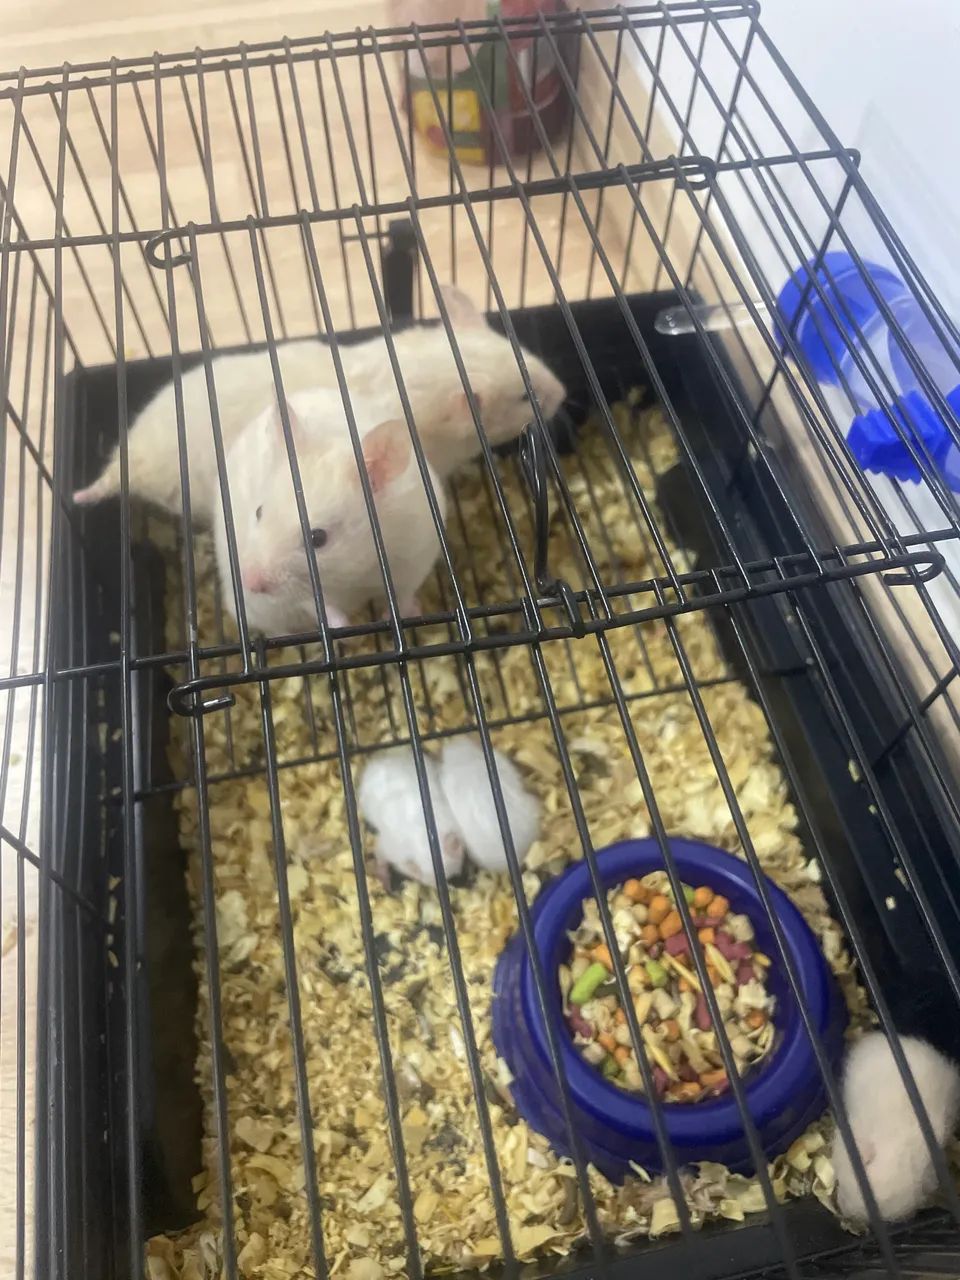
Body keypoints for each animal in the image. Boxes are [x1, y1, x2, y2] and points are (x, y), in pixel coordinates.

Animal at [213, 389, 446, 635]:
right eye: (258, 512)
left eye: (318, 538)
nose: (249, 582)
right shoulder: (304, 594)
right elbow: (317, 604)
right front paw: (345, 626)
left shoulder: (417, 556)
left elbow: (405, 592)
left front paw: (396, 613)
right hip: (258, 612)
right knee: (276, 630)